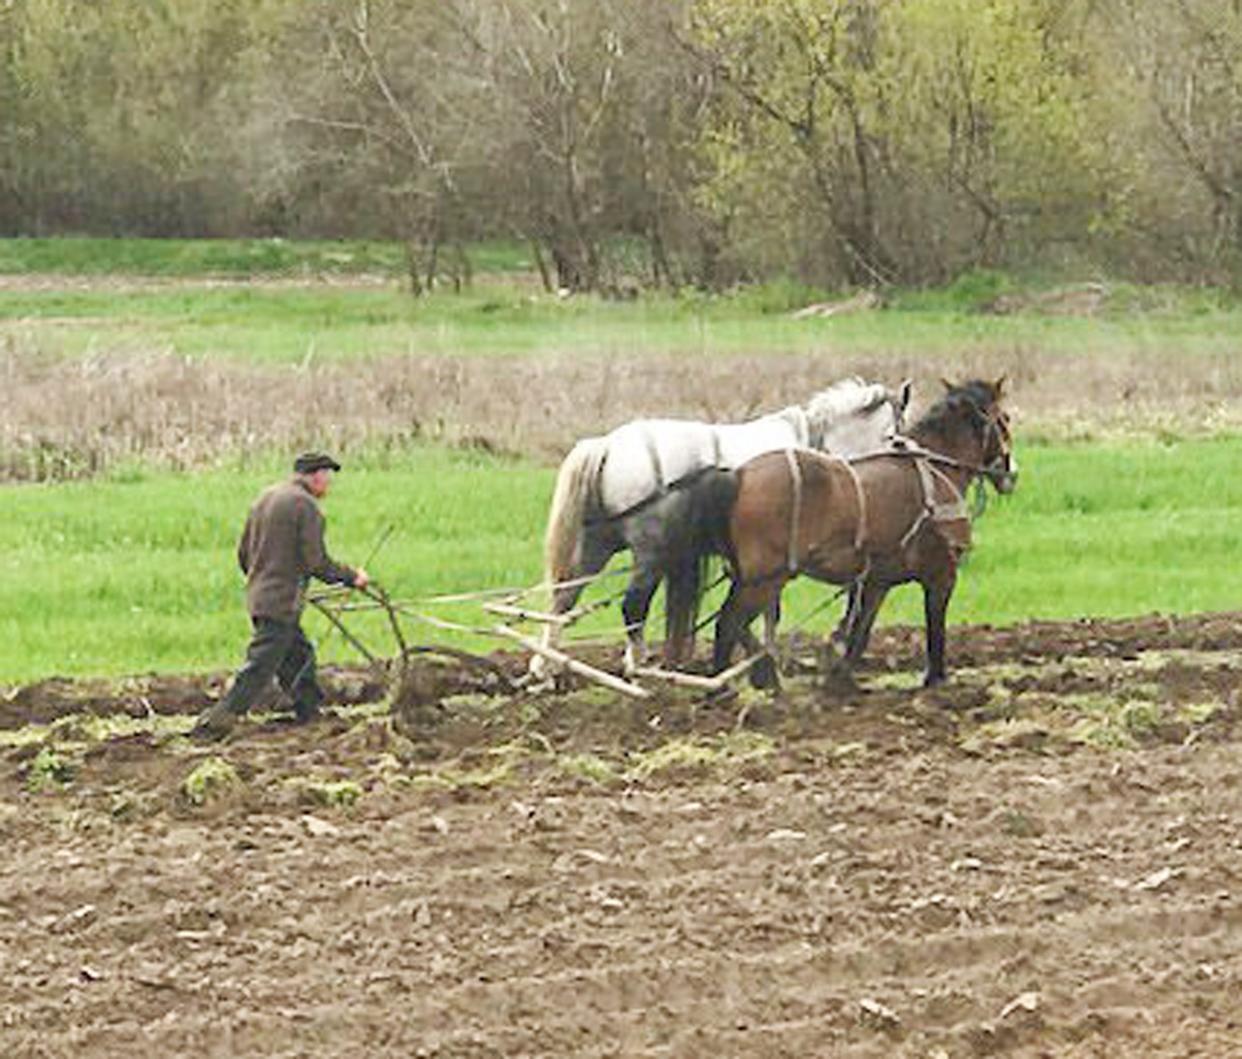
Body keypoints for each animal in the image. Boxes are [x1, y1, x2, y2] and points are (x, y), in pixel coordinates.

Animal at [536, 374, 914, 675]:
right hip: (650, 551)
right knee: (632, 605)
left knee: (564, 598)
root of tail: (606, 446)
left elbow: (769, 609)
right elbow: (773, 609)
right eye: (895, 435)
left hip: (596, 544)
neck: (813, 447)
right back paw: (637, 665)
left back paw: (546, 665)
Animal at [710, 374, 1018, 690]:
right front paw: (935, 680)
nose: (1010, 474)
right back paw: (726, 688)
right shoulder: (941, 574)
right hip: (763, 579)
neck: (936, 470)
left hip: (751, 577)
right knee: (728, 623)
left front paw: (839, 675)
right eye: (1005, 418)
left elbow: (860, 630)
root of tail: (738, 475)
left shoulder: (876, 581)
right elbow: (935, 628)